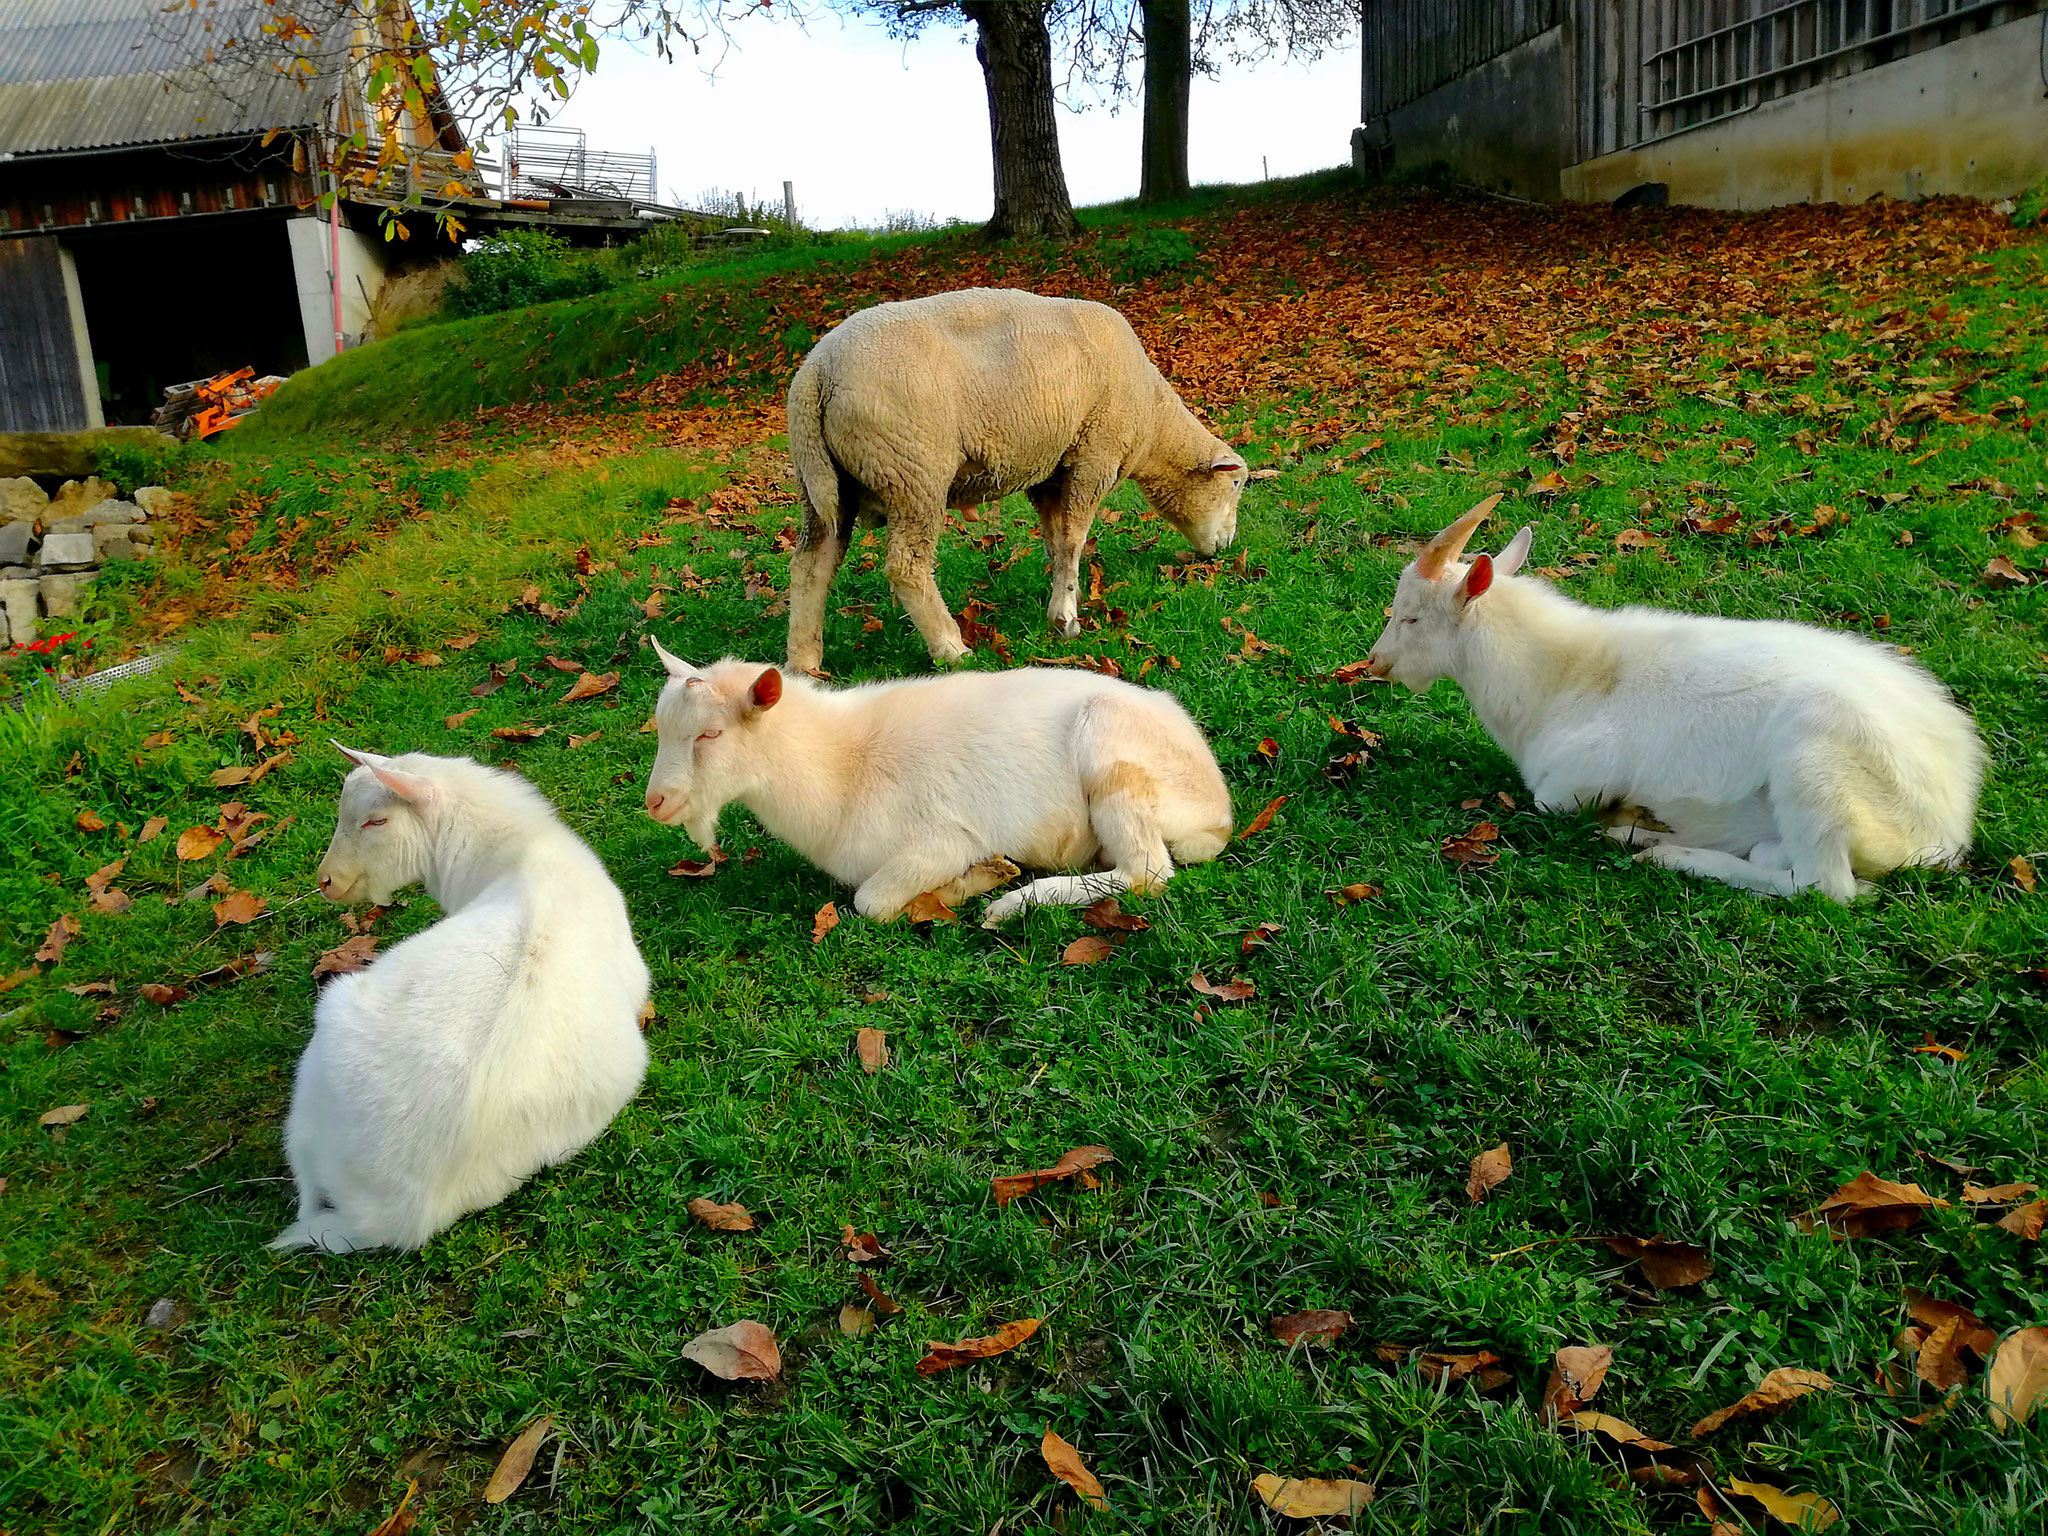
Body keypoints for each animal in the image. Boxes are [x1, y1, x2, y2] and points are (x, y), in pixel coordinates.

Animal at [638, 638, 1228, 925]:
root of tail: (1217, 813)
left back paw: (1011, 906)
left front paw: (969, 885)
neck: (841, 765)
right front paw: (982, 877)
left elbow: (871, 903)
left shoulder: (942, 838)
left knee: (1148, 871)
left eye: (710, 734)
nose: (656, 802)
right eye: (662, 727)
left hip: (1113, 752)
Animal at [778, 288, 1245, 671]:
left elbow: (1056, 540)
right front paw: (1066, 620)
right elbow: (1074, 538)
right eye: (1237, 485)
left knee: (810, 566)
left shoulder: (1051, 471)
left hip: (822, 482)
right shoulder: (1094, 455)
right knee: (906, 567)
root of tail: (816, 373)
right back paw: (951, 648)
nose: (1226, 548)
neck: (1153, 421)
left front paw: (1066, 597)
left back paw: (804, 663)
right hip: (913, 474)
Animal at [1359, 499, 1982, 901]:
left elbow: (1551, 804)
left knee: (1827, 888)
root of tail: (1946, 828)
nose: (1375, 662)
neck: (1565, 677)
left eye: (1411, 616)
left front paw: (1628, 818)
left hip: (1817, 770)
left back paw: (1665, 850)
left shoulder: (1575, 778)